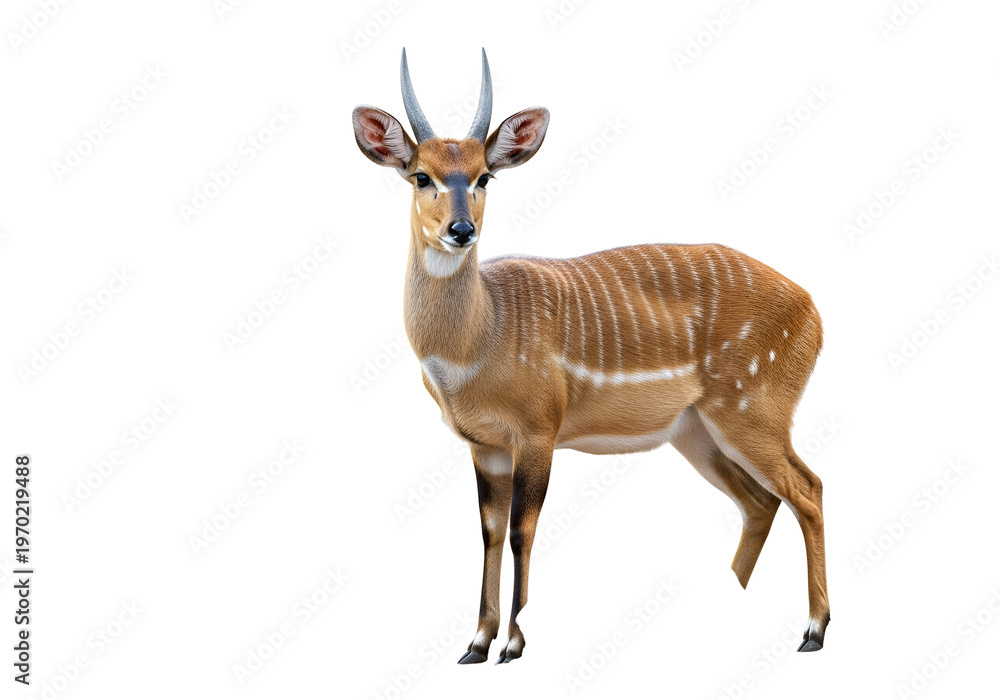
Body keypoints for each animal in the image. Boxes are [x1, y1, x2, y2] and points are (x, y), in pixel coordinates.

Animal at [352, 49, 830, 664]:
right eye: (420, 176)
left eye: (484, 176)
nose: (461, 229)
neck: (479, 339)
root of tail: (813, 310)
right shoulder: (485, 446)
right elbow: (488, 531)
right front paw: (475, 643)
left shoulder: (537, 429)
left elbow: (522, 530)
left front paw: (512, 643)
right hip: (697, 431)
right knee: (760, 501)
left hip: (753, 411)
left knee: (807, 489)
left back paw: (813, 630)